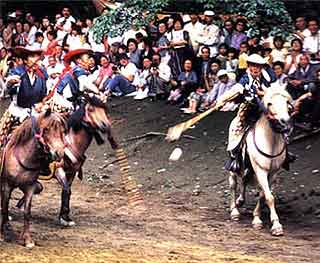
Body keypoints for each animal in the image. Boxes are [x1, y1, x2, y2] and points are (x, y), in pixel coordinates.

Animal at [0, 110, 66, 250]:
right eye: (46, 129)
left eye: (63, 130)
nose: (59, 153)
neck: (21, 156)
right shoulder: (6, 185)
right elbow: (4, 207)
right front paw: (1, 235)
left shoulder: (29, 187)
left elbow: (27, 212)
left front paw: (27, 239)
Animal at [229, 84, 294, 237]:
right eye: (269, 103)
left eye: (286, 101)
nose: (284, 122)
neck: (271, 141)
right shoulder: (261, 170)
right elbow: (269, 197)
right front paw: (276, 225)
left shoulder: (273, 173)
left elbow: (264, 195)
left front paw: (257, 218)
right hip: (235, 166)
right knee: (233, 184)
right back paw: (234, 210)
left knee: (245, 180)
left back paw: (240, 201)